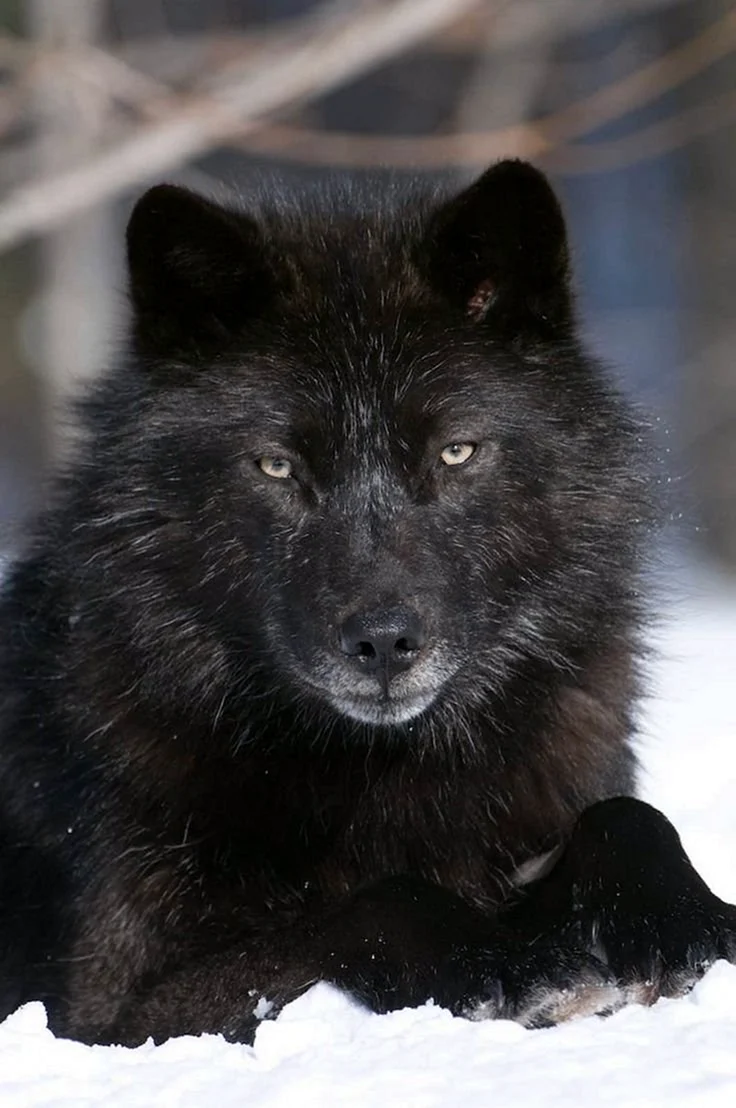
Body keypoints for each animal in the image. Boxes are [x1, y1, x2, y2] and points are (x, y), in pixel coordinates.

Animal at [0, 160, 734, 1045]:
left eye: (456, 452)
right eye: (277, 466)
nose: (383, 643)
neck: (388, 769)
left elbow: (628, 816)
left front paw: (688, 923)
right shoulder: (111, 1013)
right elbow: (370, 901)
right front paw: (513, 962)